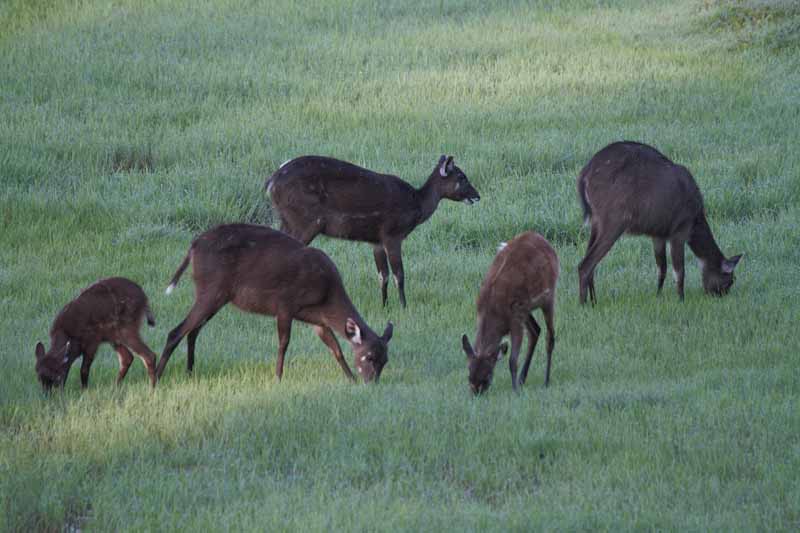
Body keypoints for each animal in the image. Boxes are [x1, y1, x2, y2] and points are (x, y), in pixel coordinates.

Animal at [156, 223, 394, 382]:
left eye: (385, 360)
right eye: (369, 357)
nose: (371, 382)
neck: (327, 294)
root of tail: (193, 247)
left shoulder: (316, 319)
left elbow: (336, 348)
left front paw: (350, 379)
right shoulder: (285, 304)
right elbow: (284, 343)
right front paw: (278, 377)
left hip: (216, 296)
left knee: (192, 331)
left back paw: (189, 372)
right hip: (211, 290)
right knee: (176, 331)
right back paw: (156, 378)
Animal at [268, 154, 482, 308]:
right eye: (462, 177)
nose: (477, 196)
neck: (417, 204)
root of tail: (271, 184)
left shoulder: (375, 241)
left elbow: (382, 275)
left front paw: (385, 306)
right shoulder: (392, 235)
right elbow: (399, 274)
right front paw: (404, 307)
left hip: (287, 220)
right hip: (305, 221)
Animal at [460, 232, 560, 394]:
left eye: (488, 375)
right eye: (469, 375)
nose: (476, 393)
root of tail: (543, 240)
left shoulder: (515, 318)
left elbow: (512, 360)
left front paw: (515, 391)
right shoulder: (518, 311)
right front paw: (517, 385)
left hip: (548, 295)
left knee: (550, 336)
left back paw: (546, 381)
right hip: (526, 308)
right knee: (535, 330)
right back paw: (522, 379)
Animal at [576, 139, 744, 304]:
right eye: (729, 281)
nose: (720, 296)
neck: (696, 219)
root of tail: (584, 176)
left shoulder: (658, 234)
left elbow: (661, 267)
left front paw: (658, 295)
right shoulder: (680, 229)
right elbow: (679, 270)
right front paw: (681, 300)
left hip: (596, 221)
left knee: (589, 259)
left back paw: (594, 300)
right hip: (613, 220)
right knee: (586, 264)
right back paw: (584, 304)